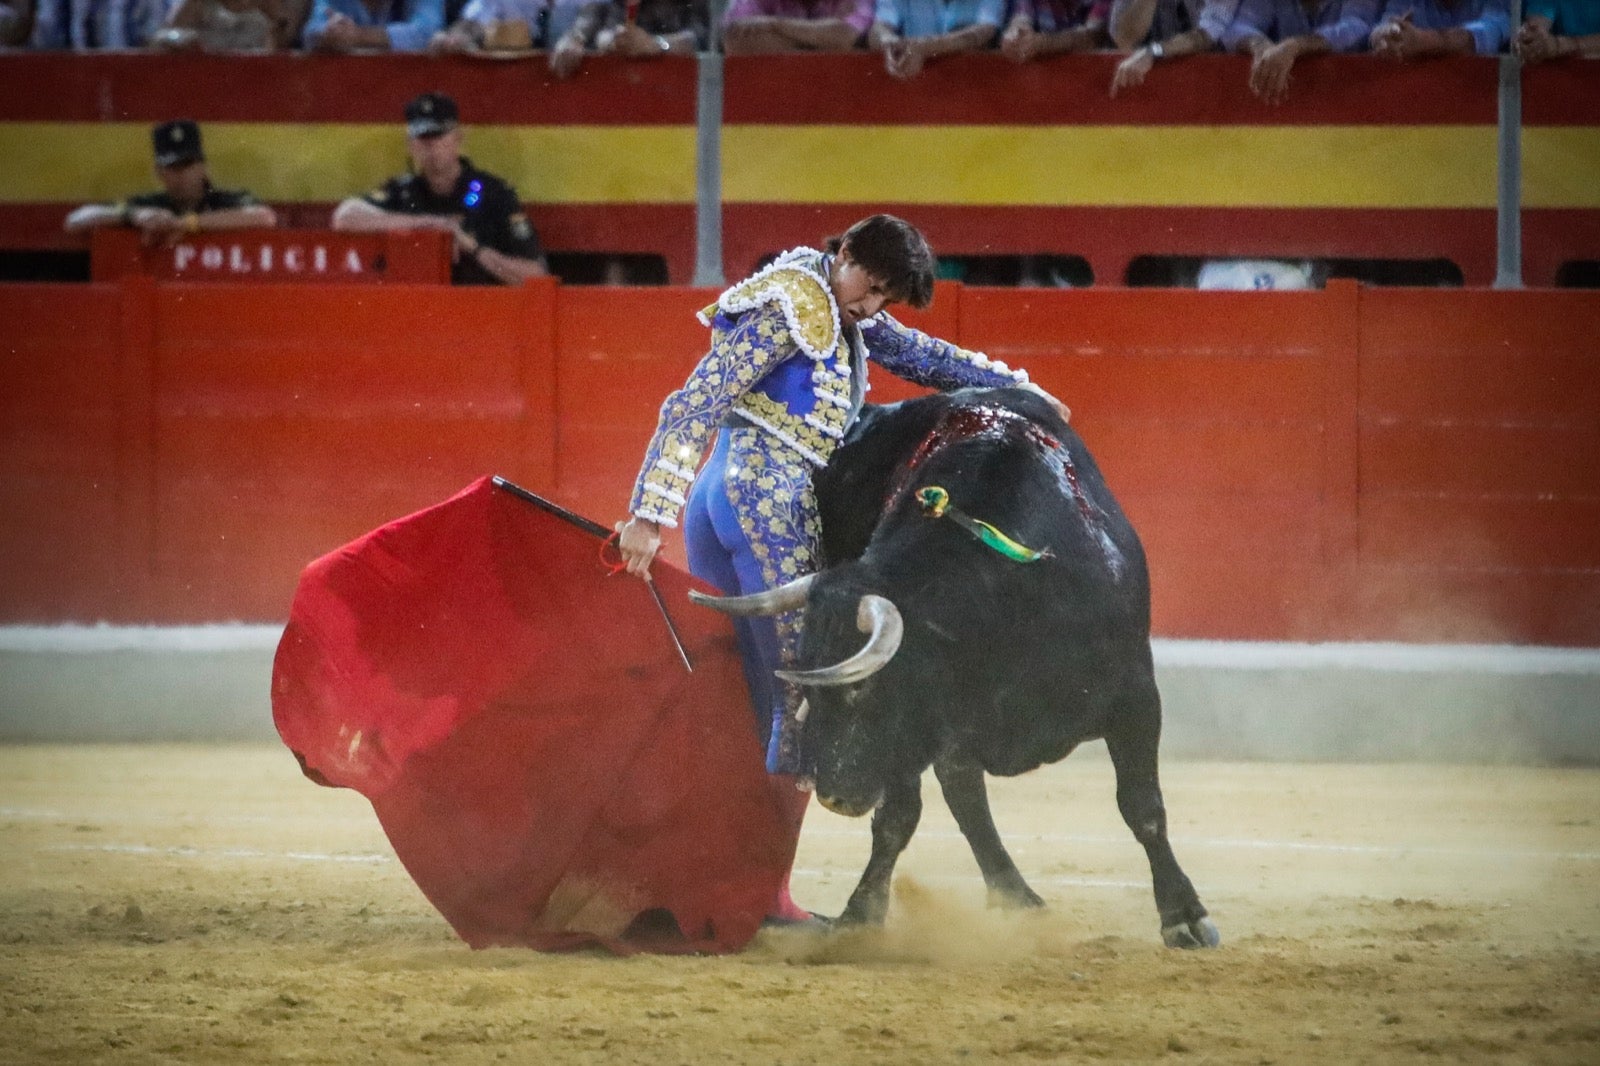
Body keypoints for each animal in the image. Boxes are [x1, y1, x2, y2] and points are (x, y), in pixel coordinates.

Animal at [694, 384, 1216, 947]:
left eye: (861, 689)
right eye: (809, 683)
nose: (833, 794)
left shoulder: (1136, 695)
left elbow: (1142, 806)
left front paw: (1185, 916)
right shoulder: (925, 725)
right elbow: (901, 817)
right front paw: (859, 917)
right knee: (960, 798)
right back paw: (1015, 895)